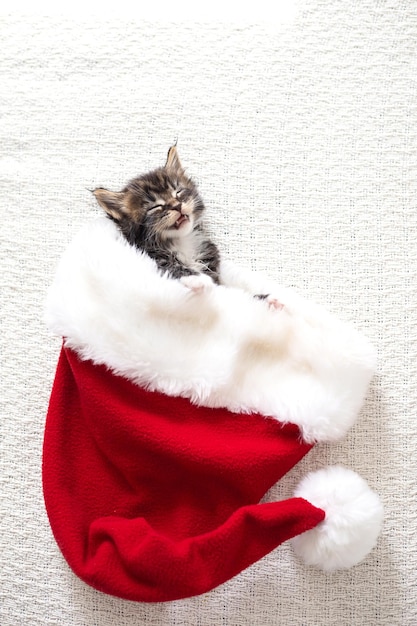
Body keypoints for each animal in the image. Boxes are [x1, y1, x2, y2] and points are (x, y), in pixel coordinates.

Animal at [92, 144, 219, 288]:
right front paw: (198, 278)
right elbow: (169, 267)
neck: (181, 241)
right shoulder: (149, 258)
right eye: (155, 207)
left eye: (178, 192)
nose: (177, 206)